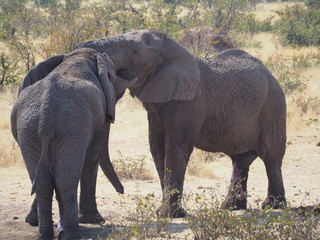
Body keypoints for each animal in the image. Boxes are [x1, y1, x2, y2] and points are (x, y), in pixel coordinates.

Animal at [10, 47, 134, 239]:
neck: (78, 57)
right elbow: (92, 158)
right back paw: (72, 234)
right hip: (71, 127)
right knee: (66, 178)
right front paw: (94, 220)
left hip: (29, 131)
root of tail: (46, 117)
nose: (122, 191)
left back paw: (46, 234)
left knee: (43, 182)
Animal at [77, 29, 288, 218]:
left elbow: (175, 149)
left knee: (271, 157)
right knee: (240, 159)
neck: (172, 52)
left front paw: (170, 215)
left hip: (273, 106)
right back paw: (231, 207)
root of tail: (272, 75)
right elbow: (157, 150)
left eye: (134, 51)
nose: (121, 191)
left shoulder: (190, 103)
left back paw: (272, 205)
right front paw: (165, 212)